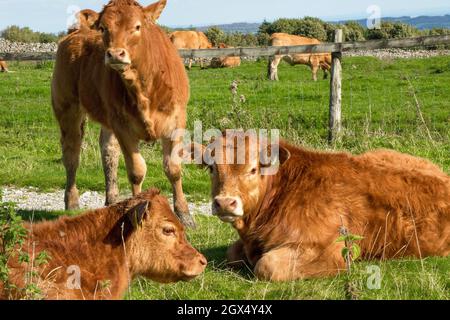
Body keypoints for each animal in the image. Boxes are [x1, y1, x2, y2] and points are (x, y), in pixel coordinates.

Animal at [51, 1, 196, 229]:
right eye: (103, 28)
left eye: (137, 26)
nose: (115, 54)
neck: (144, 86)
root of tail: (77, 32)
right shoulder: (123, 126)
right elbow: (136, 171)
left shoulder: (176, 120)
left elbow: (173, 168)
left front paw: (184, 215)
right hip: (67, 108)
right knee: (72, 154)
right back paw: (72, 201)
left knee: (108, 151)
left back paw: (112, 199)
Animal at [191, 131, 450, 282]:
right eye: (212, 168)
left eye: (253, 169)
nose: (225, 202)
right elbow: (232, 253)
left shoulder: (331, 247)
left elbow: (267, 266)